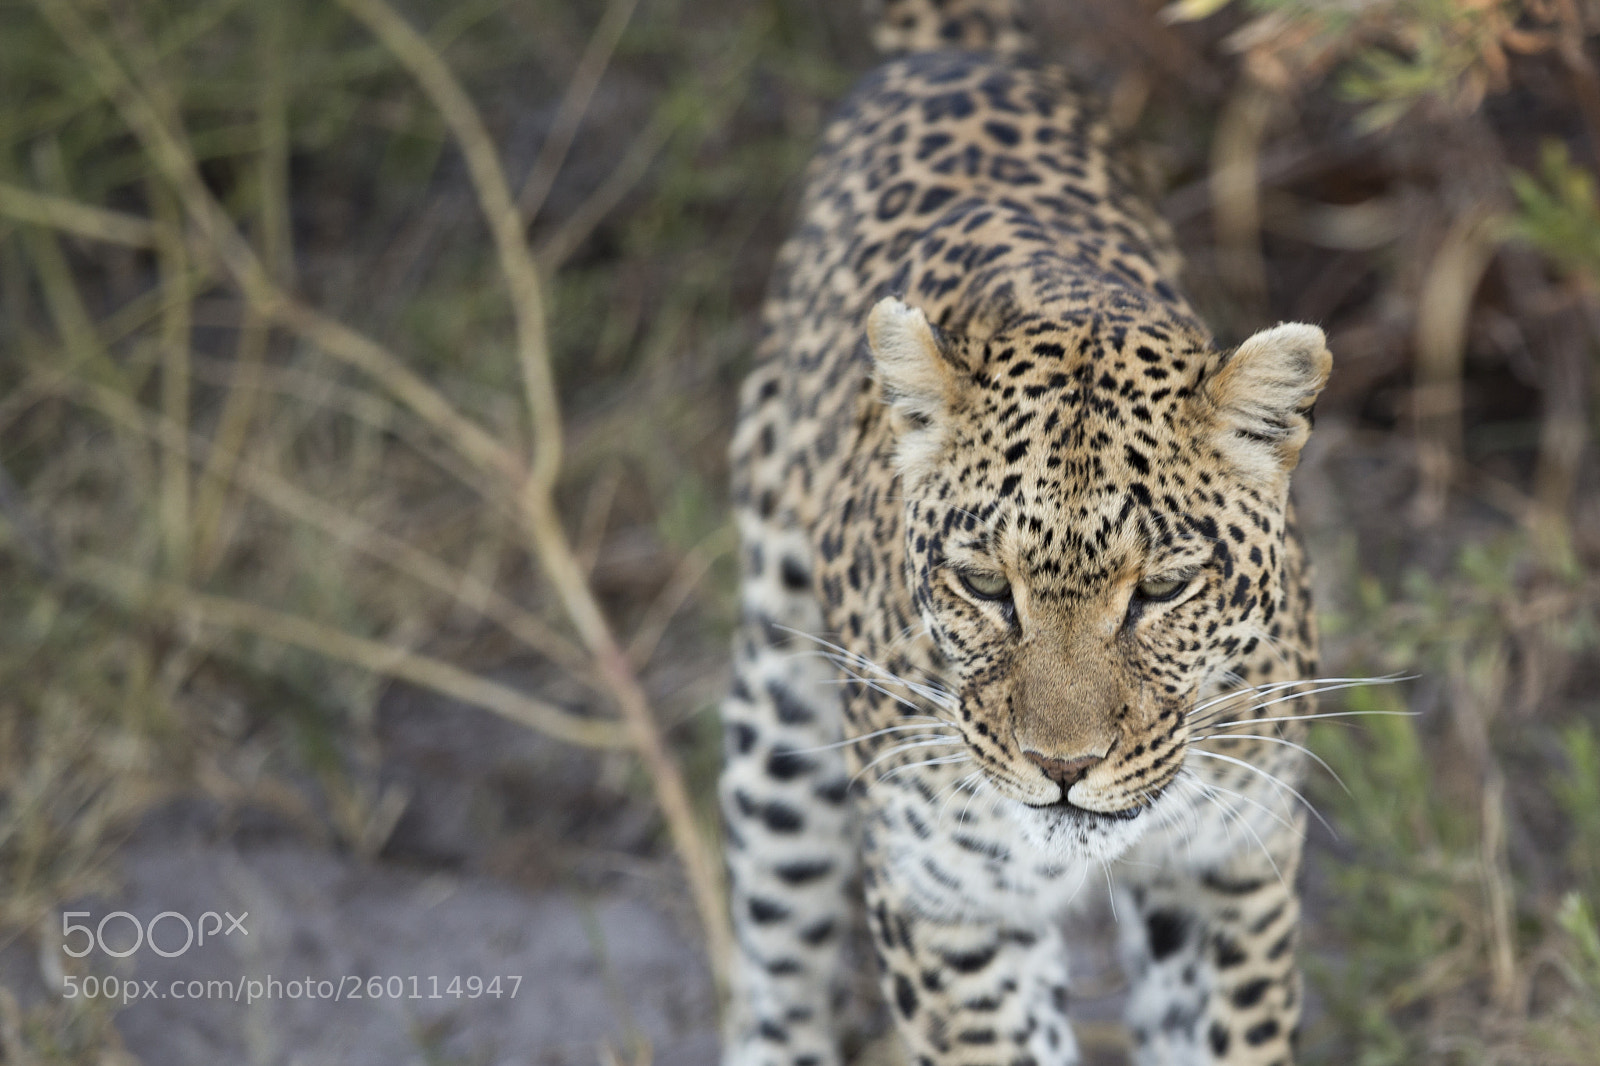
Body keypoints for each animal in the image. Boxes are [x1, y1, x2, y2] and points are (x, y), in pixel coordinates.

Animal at [719, 2, 1334, 1064]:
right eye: (982, 586)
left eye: (1162, 591)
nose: (1063, 770)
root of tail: (959, 50)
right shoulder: (953, 912)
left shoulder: (1230, 874)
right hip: (780, 691)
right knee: (778, 915)